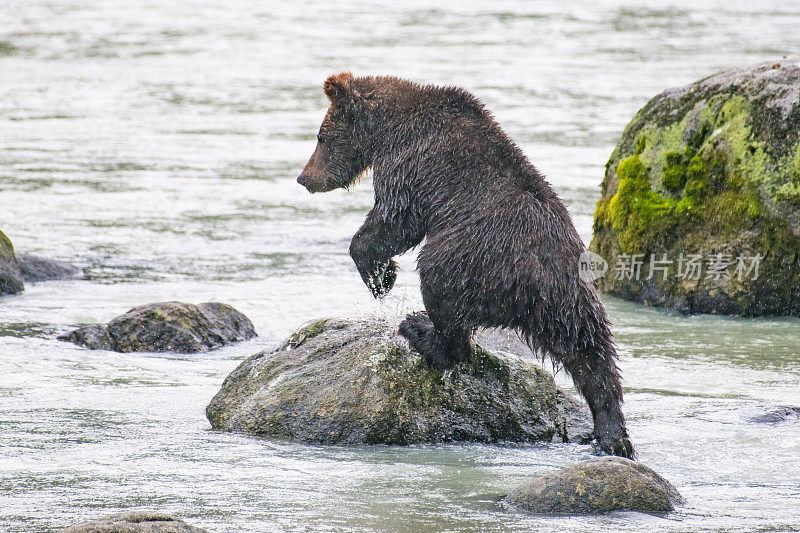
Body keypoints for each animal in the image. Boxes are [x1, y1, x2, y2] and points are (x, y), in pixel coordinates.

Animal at [296, 71, 636, 458]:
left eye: (321, 137)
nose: (304, 177)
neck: (389, 129)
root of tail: (536, 283)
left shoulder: (411, 163)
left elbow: (395, 219)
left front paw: (380, 275)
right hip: (574, 296)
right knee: (592, 352)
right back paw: (612, 433)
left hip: (468, 257)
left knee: (441, 293)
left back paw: (420, 329)